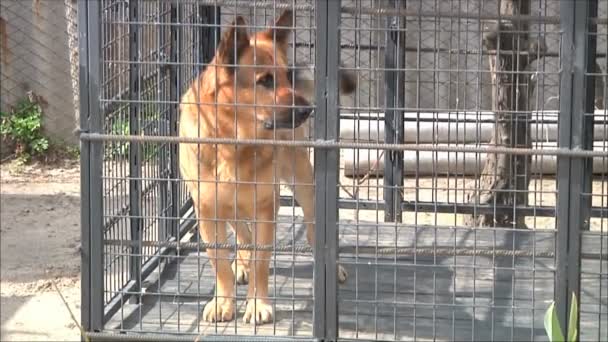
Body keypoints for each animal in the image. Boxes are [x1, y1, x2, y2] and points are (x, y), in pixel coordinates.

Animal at [176, 10, 356, 326]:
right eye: (265, 81)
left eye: (286, 76)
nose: (306, 110)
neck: (232, 144)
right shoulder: (208, 208)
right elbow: (219, 260)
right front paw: (223, 301)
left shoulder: (265, 206)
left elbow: (262, 260)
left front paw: (257, 304)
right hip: (230, 202)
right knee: (242, 232)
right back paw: (241, 263)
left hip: (303, 184)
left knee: (314, 230)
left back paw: (330, 269)